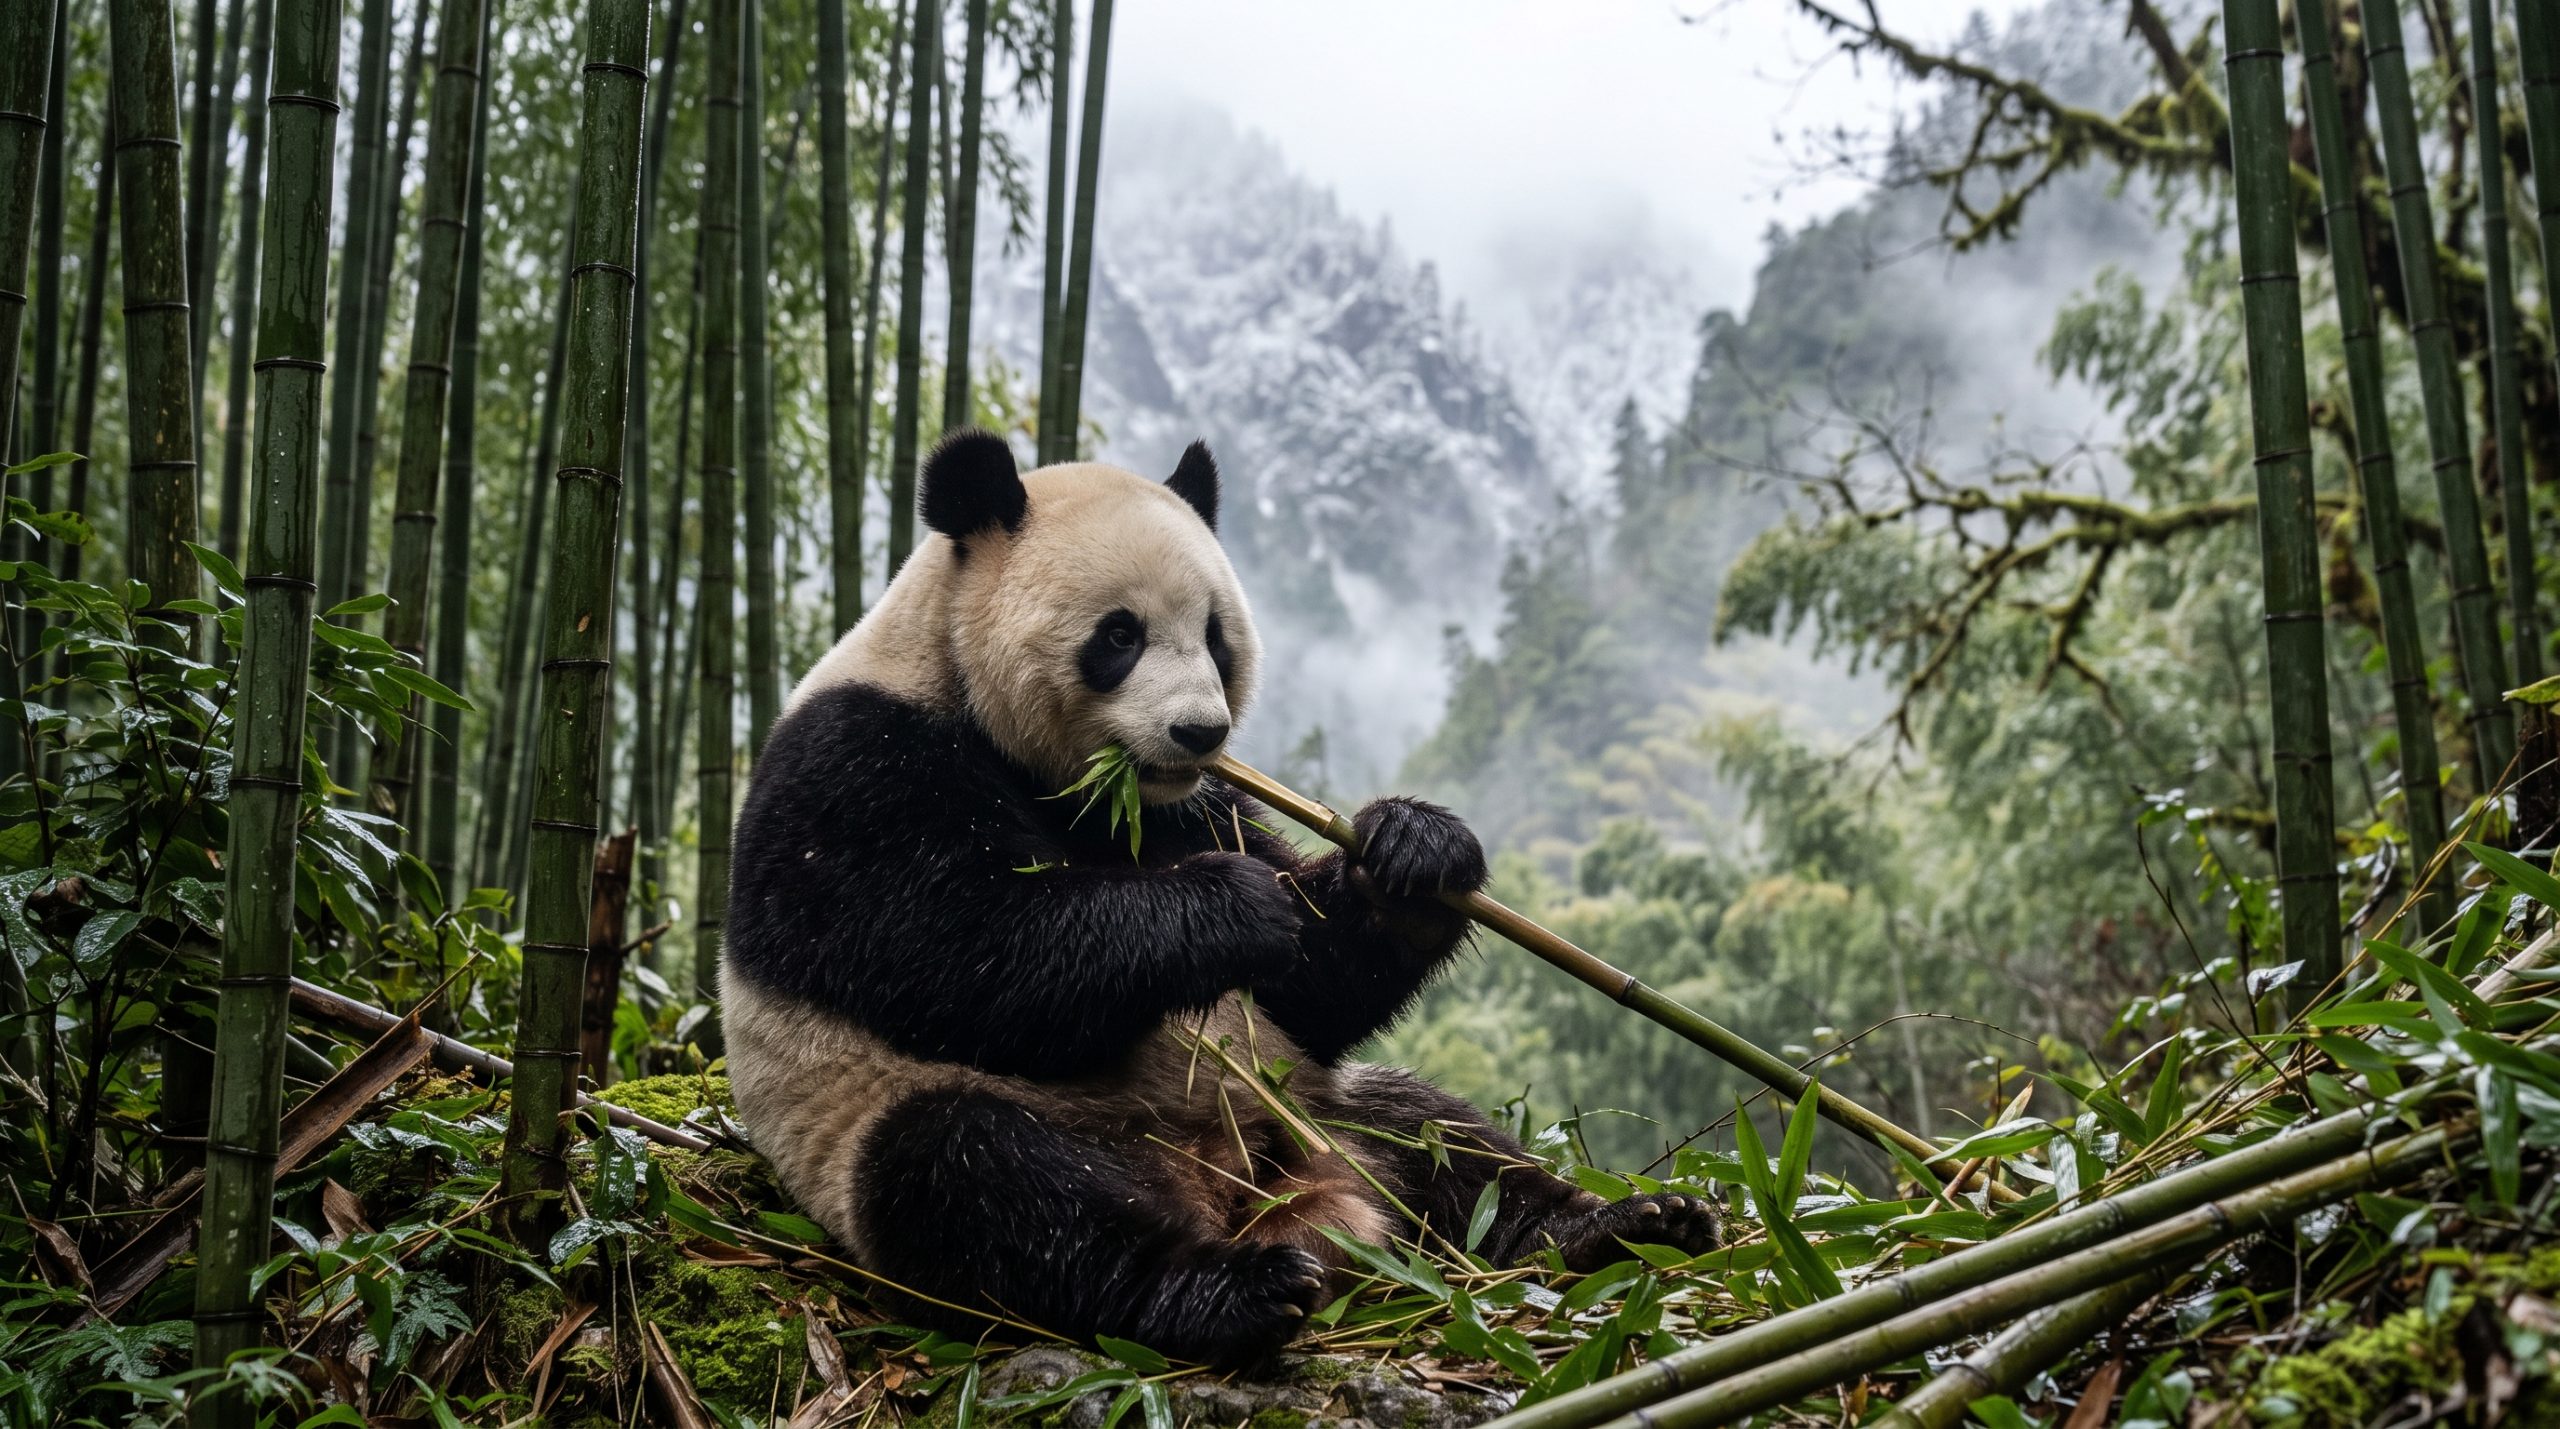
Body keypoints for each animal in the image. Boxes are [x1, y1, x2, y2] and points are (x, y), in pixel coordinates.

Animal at [722, 431, 1716, 1366]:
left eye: (1215, 635)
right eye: (1119, 635)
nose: (1200, 730)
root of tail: (1241, 1185)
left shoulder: (1199, 804)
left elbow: (1315, 989)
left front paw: (1414, 850)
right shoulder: (859, 768)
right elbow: (962, 959)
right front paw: (1229, 908)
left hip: (1316, 1102)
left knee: (1441, 1137)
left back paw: (1612, 1226)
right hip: (899, 1132)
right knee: (987, 1185)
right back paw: (1229, 1290)